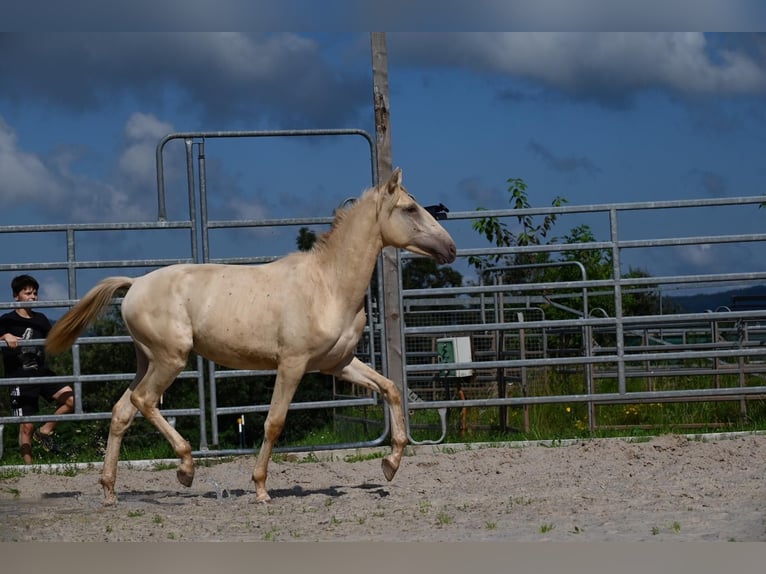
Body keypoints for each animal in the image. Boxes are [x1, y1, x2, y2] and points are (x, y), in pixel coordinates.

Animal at [46, 169, 456, 506]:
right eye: (410, 208)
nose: (450, 248)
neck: (328, 285)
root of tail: (134, 284)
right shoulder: (292, 364)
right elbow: (274, 422)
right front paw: (260, 488)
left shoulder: (337, 364)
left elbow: (391, 388)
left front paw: (390, 463)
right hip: (170, 358)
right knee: (143, 401)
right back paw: (185, 469)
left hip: (147, 360)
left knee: (121, 411)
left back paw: (110, 491)